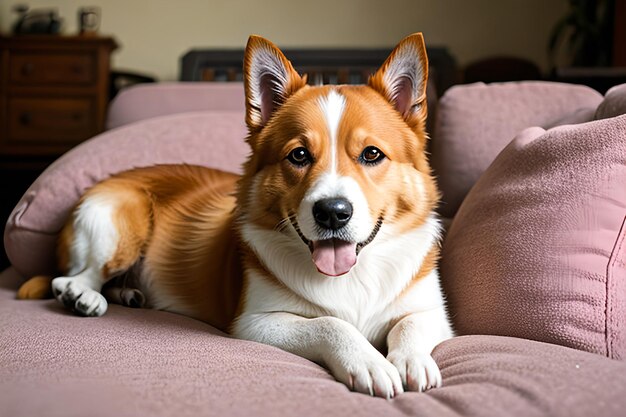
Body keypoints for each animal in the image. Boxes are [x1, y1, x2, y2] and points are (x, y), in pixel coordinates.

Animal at [17, 32, 450, 396]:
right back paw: (83, 296)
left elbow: (411, 322)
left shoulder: (435, 313)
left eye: (372, 154)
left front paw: (411, 361)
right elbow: (330, 324)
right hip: (118, 225)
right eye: (299, 155)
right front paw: (369, 362)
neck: (351, 277)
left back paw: (127, 293)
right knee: (74, 276)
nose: (332, 213)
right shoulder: (255, 322)